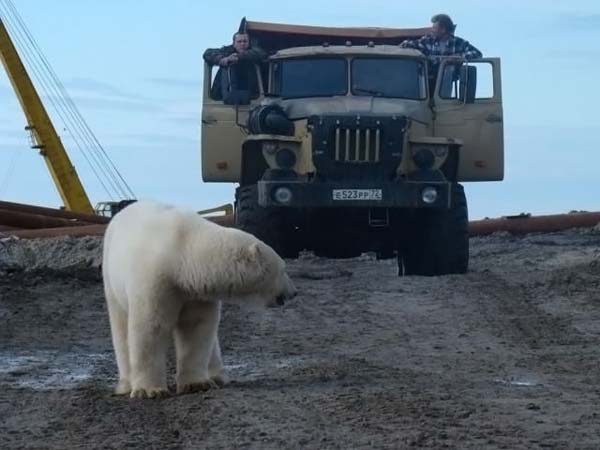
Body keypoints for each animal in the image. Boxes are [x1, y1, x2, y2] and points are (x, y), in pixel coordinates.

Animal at [101, 199, 296, 398]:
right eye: (283, 269)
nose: (293, 292)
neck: (181, 254)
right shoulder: (155, 280)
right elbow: (150, 327)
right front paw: (150, 391)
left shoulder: (196, 292)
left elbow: (196, 328)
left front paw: (196, 384)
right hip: (111, 276)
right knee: (121, 329)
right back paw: (126, 384)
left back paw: (217, 376)